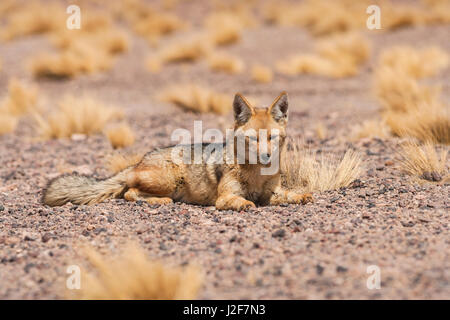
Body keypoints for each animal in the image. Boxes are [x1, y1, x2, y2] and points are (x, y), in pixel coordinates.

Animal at [44, 91, 312, 211]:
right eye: (252, 139)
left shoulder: (271, 193)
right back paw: (159, 201)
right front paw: (245, 203)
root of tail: (138, 162)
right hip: (170, 181)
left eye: (271, 138)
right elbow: (238, 199)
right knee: (129, 193)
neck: (257, 175)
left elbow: (288, 194)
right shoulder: (224, 197)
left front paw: (300, 196)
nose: (266, 156)